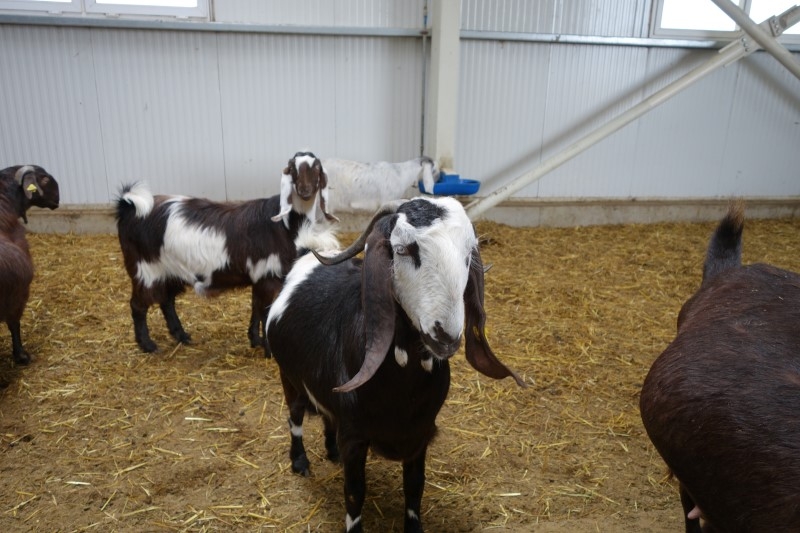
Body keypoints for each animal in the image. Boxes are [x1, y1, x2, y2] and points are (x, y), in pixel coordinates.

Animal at [115, 151, 338, 354]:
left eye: (317, 168)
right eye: (292, 169)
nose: (305, 190)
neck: (285, 224)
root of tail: (127, 207)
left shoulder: (259, 275)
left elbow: (255, 307)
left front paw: (255, 340)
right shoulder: (268, 276)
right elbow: (265, 311)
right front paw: (267, 349)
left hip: (169, 270)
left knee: (167, 301)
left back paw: (182, 336)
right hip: (145, 269)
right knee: (138, 305)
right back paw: (148, 345)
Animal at [266, 196, 525, 532]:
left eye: (469, 253)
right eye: (403, 249)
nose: (446, 335)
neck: (402, 388)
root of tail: (305, 257)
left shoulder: (420, 434)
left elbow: (415, 487)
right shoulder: (355, 436)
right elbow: (354, 493)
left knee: (326, 417)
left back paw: (331, 452)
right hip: (289, 378)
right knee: (295, 417)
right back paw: (299, 462)